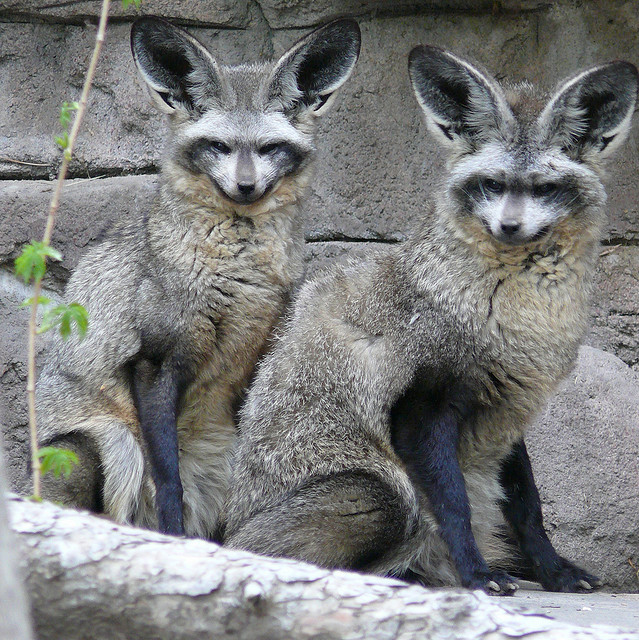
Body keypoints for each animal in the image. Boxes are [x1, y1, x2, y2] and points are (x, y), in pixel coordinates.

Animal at [34, 16, 361, 538]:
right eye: (219, 146)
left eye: (270, 148)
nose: (245, 187)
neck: (239, 274)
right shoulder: (153, 359)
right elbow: (168, 481)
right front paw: (170, 539)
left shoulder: (254, 359)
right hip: (109, 444)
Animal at [223, 46, 638, 593]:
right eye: (492, 184)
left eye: (545, 187)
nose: (509, 226)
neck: (518, 318)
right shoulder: (422, 407)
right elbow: (455, 506)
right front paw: (477, 574)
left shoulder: (505, 408)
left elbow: (529, 508)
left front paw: (554, 571)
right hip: (384, 495)